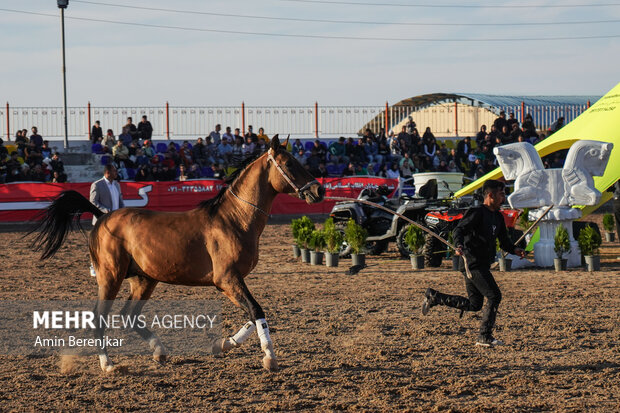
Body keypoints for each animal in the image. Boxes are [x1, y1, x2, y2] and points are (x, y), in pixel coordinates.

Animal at [31, 135, 324, 370]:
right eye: (289, 164)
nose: (319, 189)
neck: (234, 219)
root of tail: (102, 217)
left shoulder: (232, 281)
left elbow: (252, 315)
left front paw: (224, 344)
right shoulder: (227, 279)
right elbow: (256, 310)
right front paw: (269, 357)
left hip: (144, 280)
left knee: (128, 315)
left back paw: (159, 351)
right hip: (111, 278)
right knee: (100, 319)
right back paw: (108, 364)